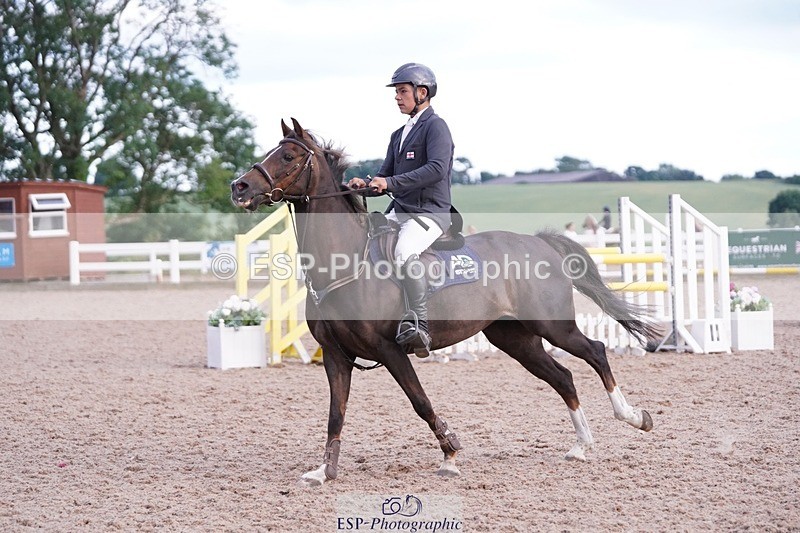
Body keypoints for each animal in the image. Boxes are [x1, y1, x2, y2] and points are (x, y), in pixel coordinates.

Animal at [230, 118, 658, 486]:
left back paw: (633, 416)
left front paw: (451, 454)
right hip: (516, 339)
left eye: (288, 156)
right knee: (563, 376)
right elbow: (336, 414)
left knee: (595, 351)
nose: (240, 187)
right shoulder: (336, 355)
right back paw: (581, 446)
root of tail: (539, 242)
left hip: (554, 326)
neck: (345, 262)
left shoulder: (391, 350)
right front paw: (324, 471)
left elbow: (420, 402)